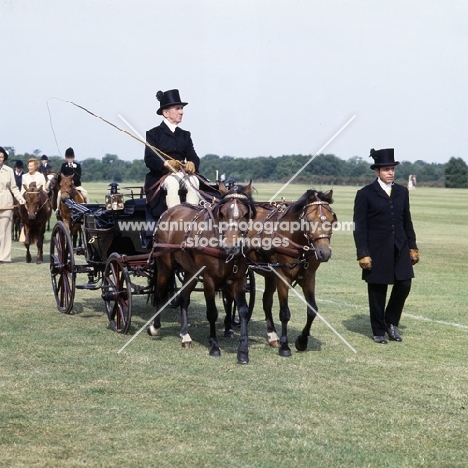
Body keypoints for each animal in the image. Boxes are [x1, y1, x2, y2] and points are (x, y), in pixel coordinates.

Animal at [148, 181, 256, 364]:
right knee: (160, 293)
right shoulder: (209, 279)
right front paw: (214, 346)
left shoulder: (239, 279)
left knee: (184, 298)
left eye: (245, 213)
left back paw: (185, 335)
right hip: (165, 265)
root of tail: (168, 212)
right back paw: (154, 327)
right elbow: (212, 313)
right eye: (222, 212)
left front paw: (243, 351)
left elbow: (243, 311)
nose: (231, 245)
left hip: (190, 272)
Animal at [233, 188, 336, 356]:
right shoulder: (282, 276)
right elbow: (284, 313)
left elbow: (312, 310)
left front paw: (302, 341)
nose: (324, 253)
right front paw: (285, 347)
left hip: (270, 275)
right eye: (308, 221)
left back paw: (272, 335)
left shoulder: (309, 277)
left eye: (332, 219)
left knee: (266, 301)